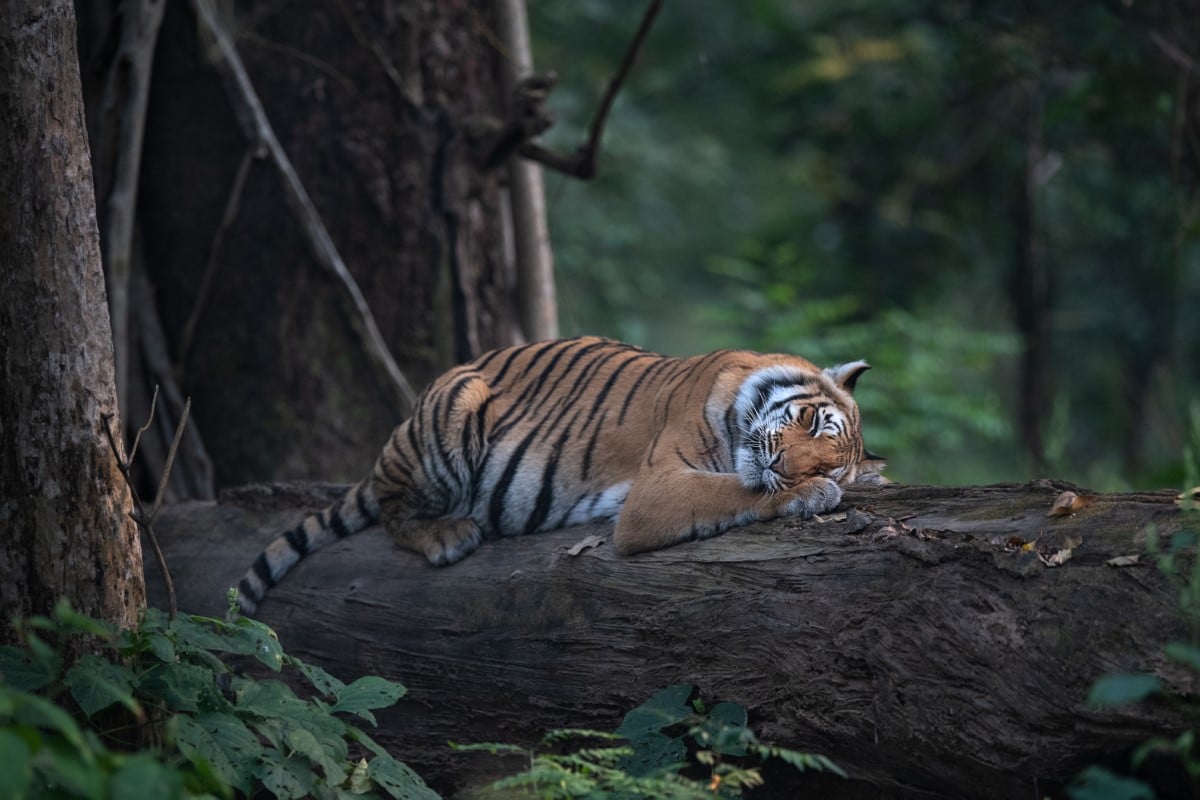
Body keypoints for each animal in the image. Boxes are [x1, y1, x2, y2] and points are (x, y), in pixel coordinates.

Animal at [236, 335, 883, 614]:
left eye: (828, 455)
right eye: (808, 420)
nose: (783, 465)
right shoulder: (656, 489)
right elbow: (733, 489)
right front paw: (809, 495)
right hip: (453, 408)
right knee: (394, 509)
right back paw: (448, 535)